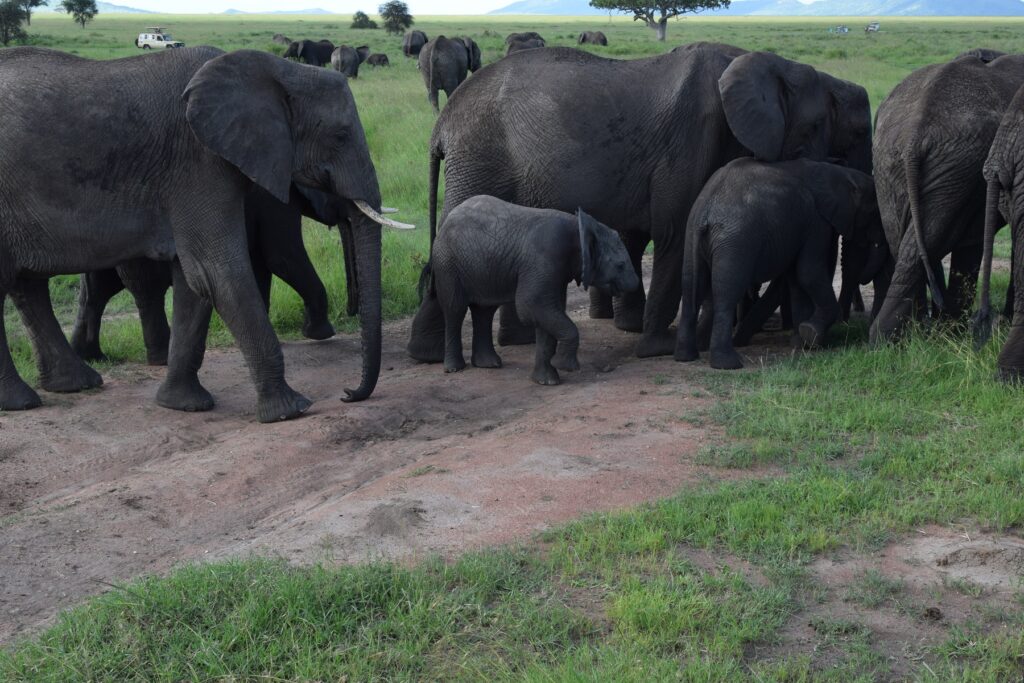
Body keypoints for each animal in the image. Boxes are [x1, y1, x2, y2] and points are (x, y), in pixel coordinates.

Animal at [71, 185, 356, 366]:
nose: (352, 312)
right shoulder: (274, 202)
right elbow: (283, 257)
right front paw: (321, 334)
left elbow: (261, 266)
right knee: (147, 291)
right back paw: (160, 360)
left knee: (96, 292)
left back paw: (93, 358)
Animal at [431, 196, 639, 385]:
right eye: (620, 265)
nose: (635, 283)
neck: (579, 227)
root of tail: (448, 218)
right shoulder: (546, 258)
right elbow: (532, 306)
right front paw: (564, 367)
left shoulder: (557, 271)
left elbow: (548, 314)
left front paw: (547, 381)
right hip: (447, 263)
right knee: (455, 309)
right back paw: (454, 368)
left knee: (485, 311)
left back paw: (489, 364)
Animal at [675, 158, 887, 370]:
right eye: (874, 212)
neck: (840, 172)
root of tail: (707, 210)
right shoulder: (816, 221)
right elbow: (809, 272)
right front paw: (810, 334)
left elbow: (797, 280)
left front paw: (801, 343)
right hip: (734, 242)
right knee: (726, 294)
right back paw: (728, 364)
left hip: (692, 233)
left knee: (691, 288)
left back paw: (685, 356)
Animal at [870, 50, 1024, 344]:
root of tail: (915, 131)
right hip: (956, 164)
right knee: (936, 240)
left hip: (889, 163)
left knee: (905, 245)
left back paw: (905, 337)